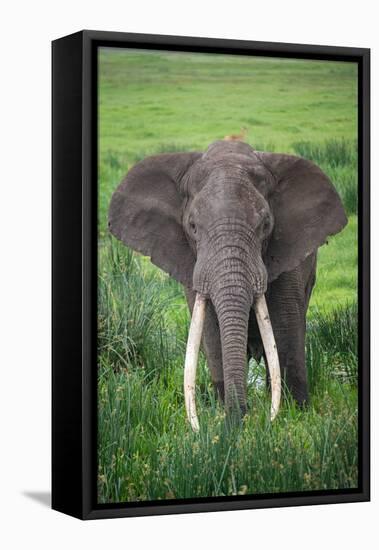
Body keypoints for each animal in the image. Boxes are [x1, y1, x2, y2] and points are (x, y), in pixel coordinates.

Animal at [108, 139, 348, 432]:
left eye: (265, 225)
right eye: (192, 226)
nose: (241, 419)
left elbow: (285, 325)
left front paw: (295, 415)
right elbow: (212, 328)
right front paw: (228, 423)